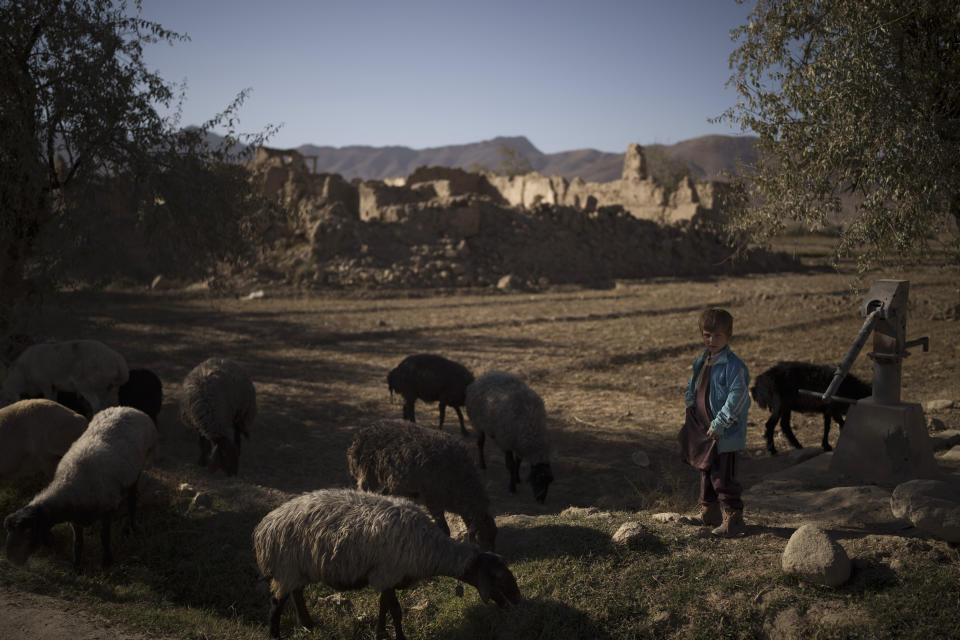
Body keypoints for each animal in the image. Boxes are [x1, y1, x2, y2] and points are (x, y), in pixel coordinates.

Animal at [0, 338, 128, 412]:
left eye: (7, 399)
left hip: (87, 386)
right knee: (108, 404)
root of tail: (119, 362)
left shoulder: (45, 384)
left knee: (96, 404)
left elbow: (48, 398)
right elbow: (55, 400)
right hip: (109, 389)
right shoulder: (54, 386)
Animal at [3, 404, 158, 568]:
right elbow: (77, 543)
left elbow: (104, 537)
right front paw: (76, 567)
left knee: (132, 501)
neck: (70, 484)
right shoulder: (75, 520)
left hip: (137, 471)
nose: (12, 560)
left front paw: (107, 562)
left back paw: (132, 527)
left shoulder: (107, 510)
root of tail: (127, 408)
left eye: (28, 532)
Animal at [251, 488, 520, 636]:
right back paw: (277, 635)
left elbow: (383, 607)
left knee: (296, 594)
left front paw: (380, 633)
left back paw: (308, 624)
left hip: (297, 569)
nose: (517, 603)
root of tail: (265, 526)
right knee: (276, 604)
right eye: (498, 577)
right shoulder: (388, 573)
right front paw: (399, 637)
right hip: (286, 567)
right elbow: (396, 612)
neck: (432, 549)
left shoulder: (385, 577)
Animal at [348, 420, 498, 552]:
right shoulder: (433, 499)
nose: (492, 554)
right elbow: (445, 529)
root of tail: (358, 439)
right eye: (480, 537)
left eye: (494, 536)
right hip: (367, 478)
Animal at [464, 370, 556, 504]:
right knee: (480, 443)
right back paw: (482, 465)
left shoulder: (518, 444)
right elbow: (510, 465)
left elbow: (518, 461)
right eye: (537, 480)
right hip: (477, 423)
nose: (541, 500)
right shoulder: (506, 442)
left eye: (549, 482)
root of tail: (488, 374)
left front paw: (517, 478)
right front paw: (512, 487)